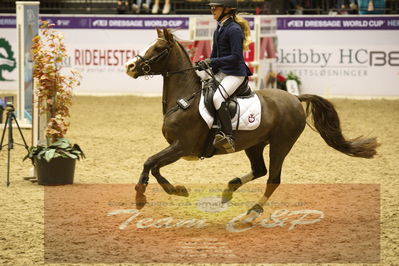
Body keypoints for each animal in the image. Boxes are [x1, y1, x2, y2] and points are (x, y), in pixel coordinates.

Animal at [126, 28, 382, 221]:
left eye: (159, 49)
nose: (129, 67)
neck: (184, 99)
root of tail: (294, 97)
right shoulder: (178, 148)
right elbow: (153, 165)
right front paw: (167, 191)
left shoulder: (182, 147)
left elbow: (150, 162)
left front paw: (150, 195)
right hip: (255, 144)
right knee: (260, 170)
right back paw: (229, 191)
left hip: (281, 144)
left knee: (273, 178)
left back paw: (253, 211)